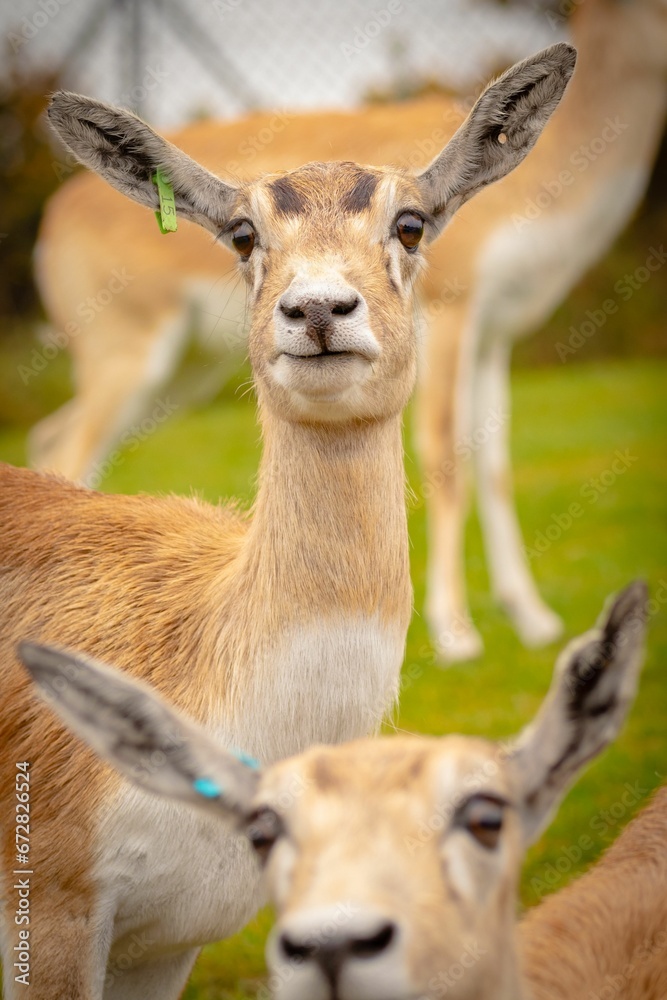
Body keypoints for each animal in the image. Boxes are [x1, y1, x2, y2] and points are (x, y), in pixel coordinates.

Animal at [28, 0, 667, 661]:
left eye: (411, 225)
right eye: (242, 234)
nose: (316, 310)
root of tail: (53, 219)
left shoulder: (495, 334)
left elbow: (493, 460)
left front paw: (535, 620)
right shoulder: (454, 310)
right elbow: (446, 452)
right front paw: (456, 633)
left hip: (182, 373)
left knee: (52, 440)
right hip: (128, 355)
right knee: (70, 447)